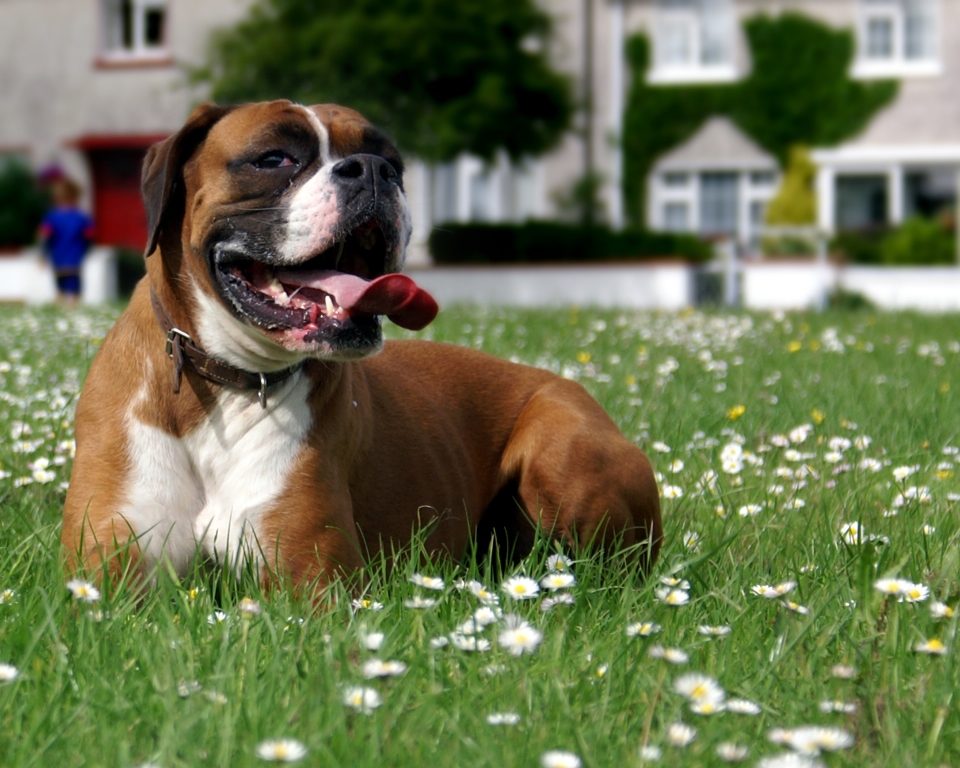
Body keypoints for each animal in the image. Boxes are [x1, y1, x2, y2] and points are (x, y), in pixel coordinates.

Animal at [60, 97, 660, 588]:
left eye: (393, 161)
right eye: (273, 158)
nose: (375, 171)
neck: (226, 381)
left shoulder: (312, 585)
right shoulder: (106, 575)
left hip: (561, 456)